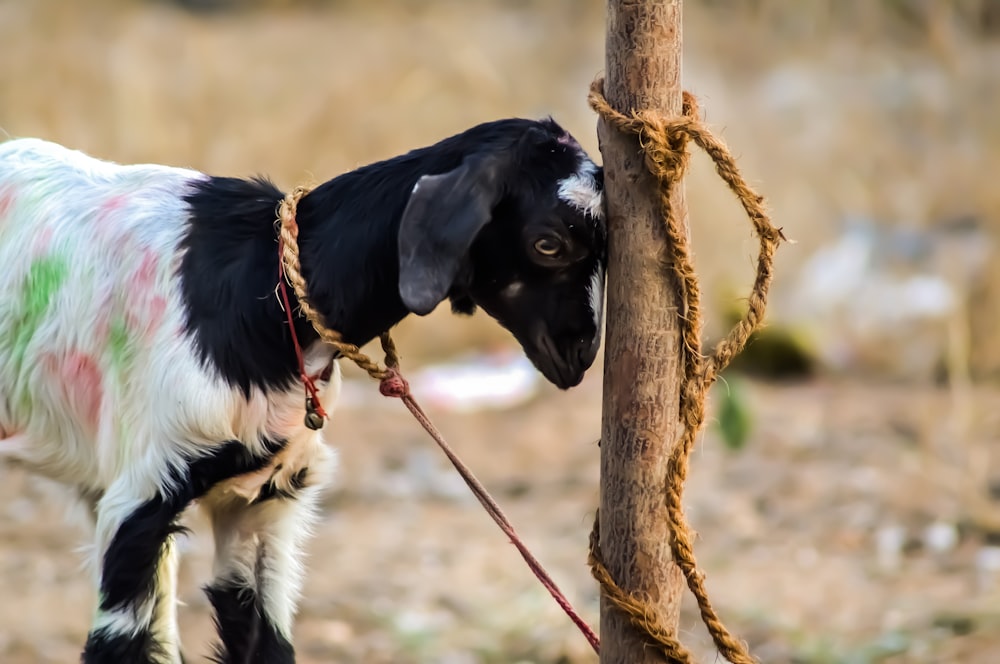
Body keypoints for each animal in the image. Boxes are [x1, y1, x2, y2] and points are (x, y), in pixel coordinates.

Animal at [0, 120, 608, 664]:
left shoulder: (265, 500)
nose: (581, 351)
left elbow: (267, 645)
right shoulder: (140, 499)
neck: (264, 293)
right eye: (548, 243)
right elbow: (120, 646)